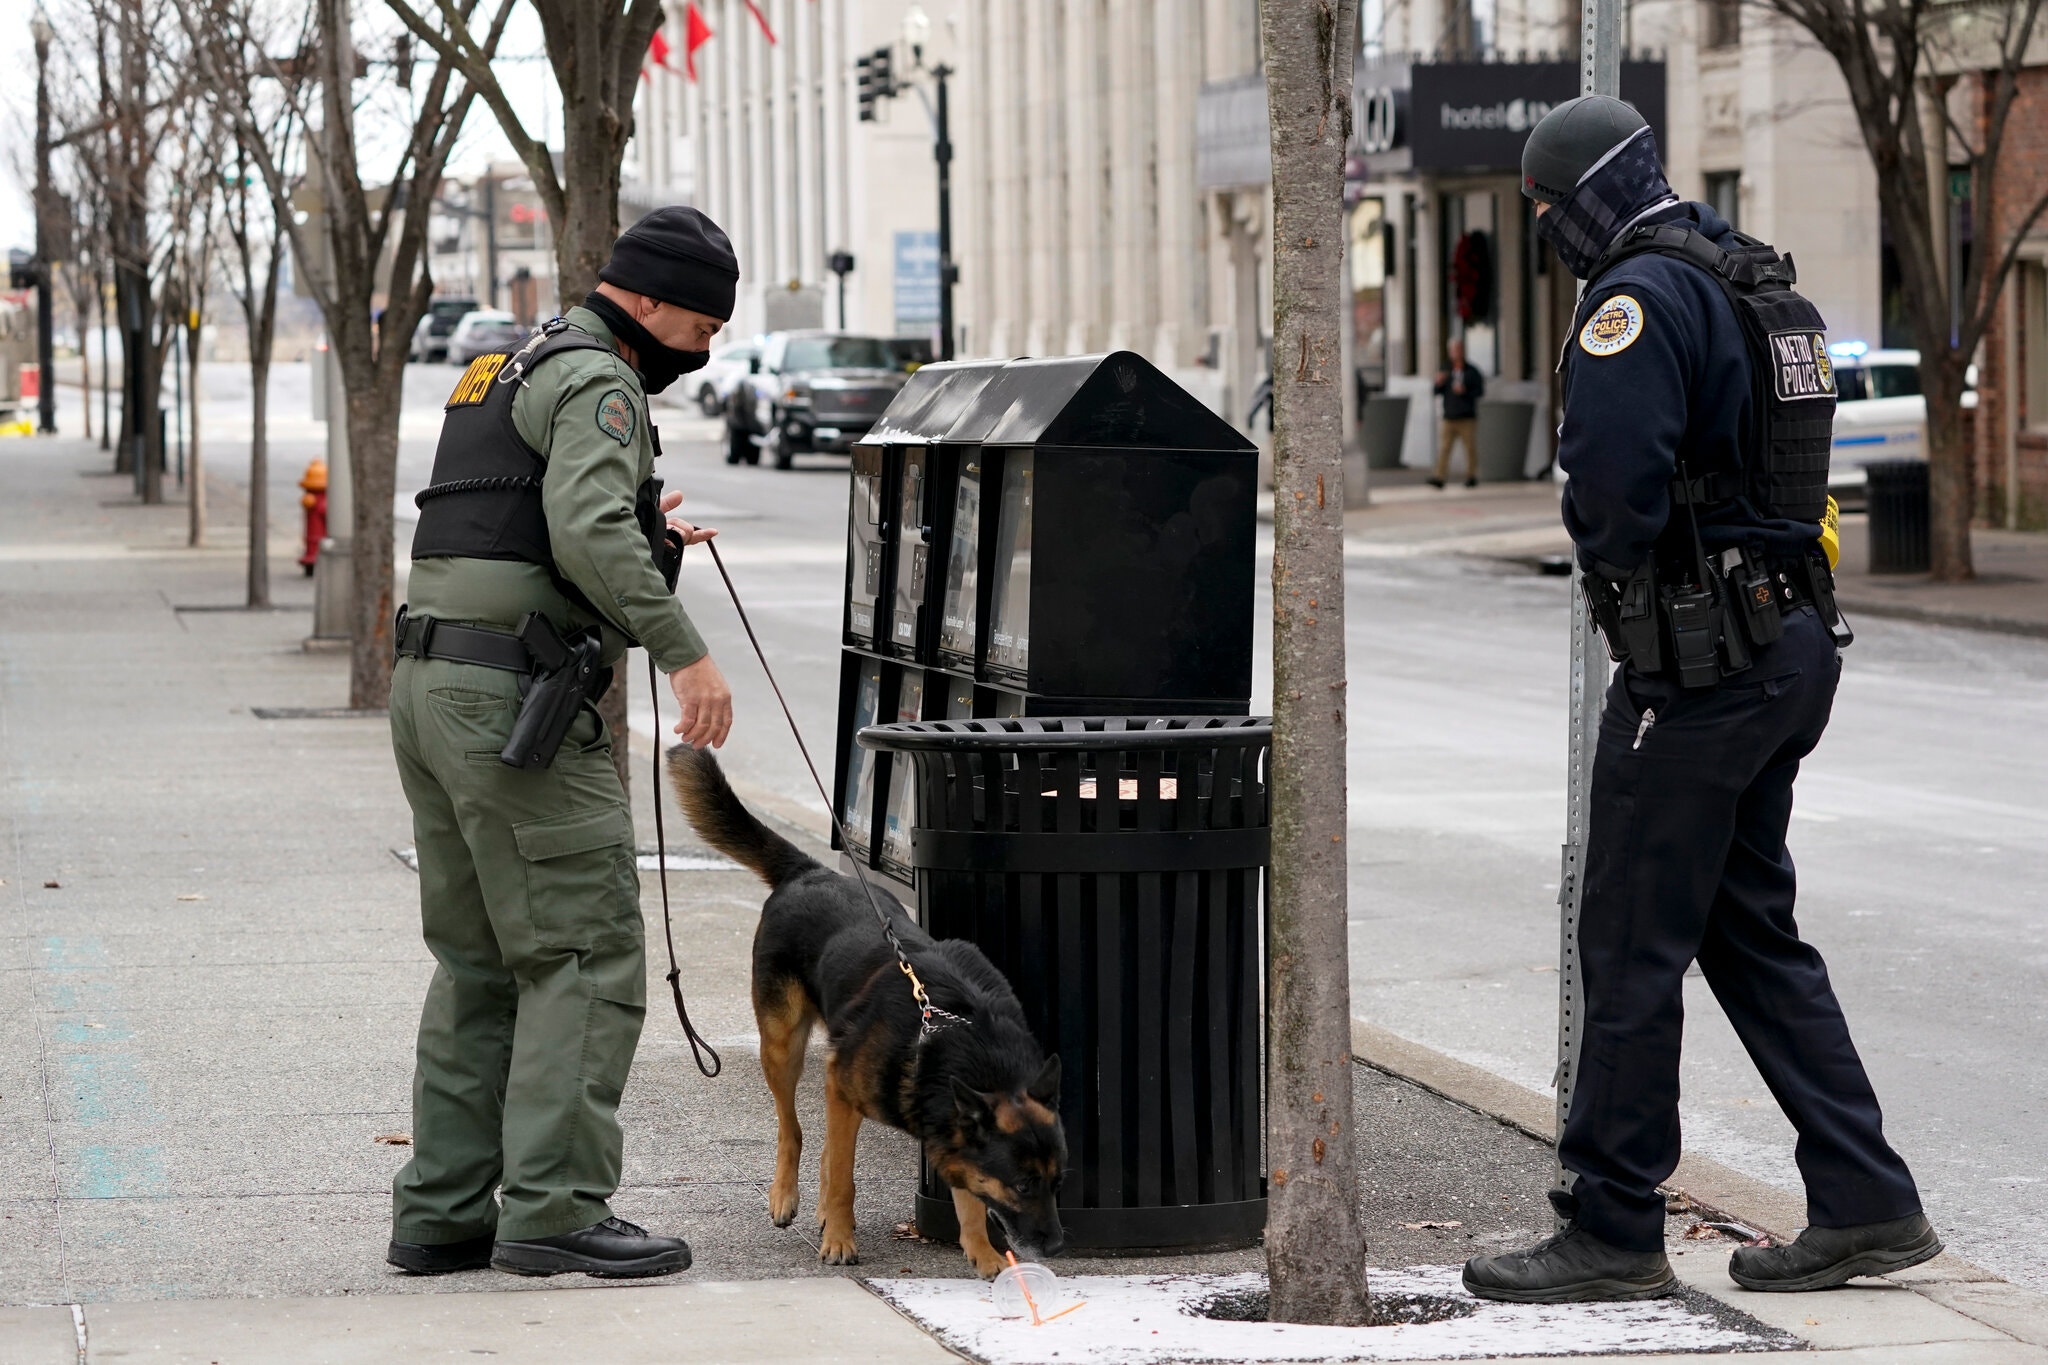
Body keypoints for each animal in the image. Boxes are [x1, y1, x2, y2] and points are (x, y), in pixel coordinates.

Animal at [667, 740, 1073, 1277]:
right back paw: (787, 1196)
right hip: (784, 1049)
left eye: (1057, 1181)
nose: (1058, 1249)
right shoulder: (843, 1088)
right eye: (1023, 1185)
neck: (956, 1036)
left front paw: (984, 1254)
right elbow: (842, 1174)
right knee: (794, 1131)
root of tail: (812, 870)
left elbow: (967, 1198)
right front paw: (840, 1239)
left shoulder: (947, 1128)